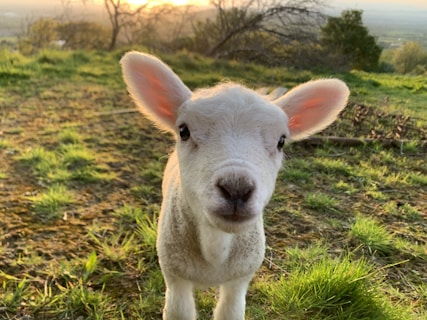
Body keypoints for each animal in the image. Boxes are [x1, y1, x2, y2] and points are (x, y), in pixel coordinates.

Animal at [121, 52, 352, 320]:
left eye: (281, 141)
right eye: (184, 131)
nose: (236, 189)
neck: (215, 252)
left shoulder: (240, 279)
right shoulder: (175, 277)